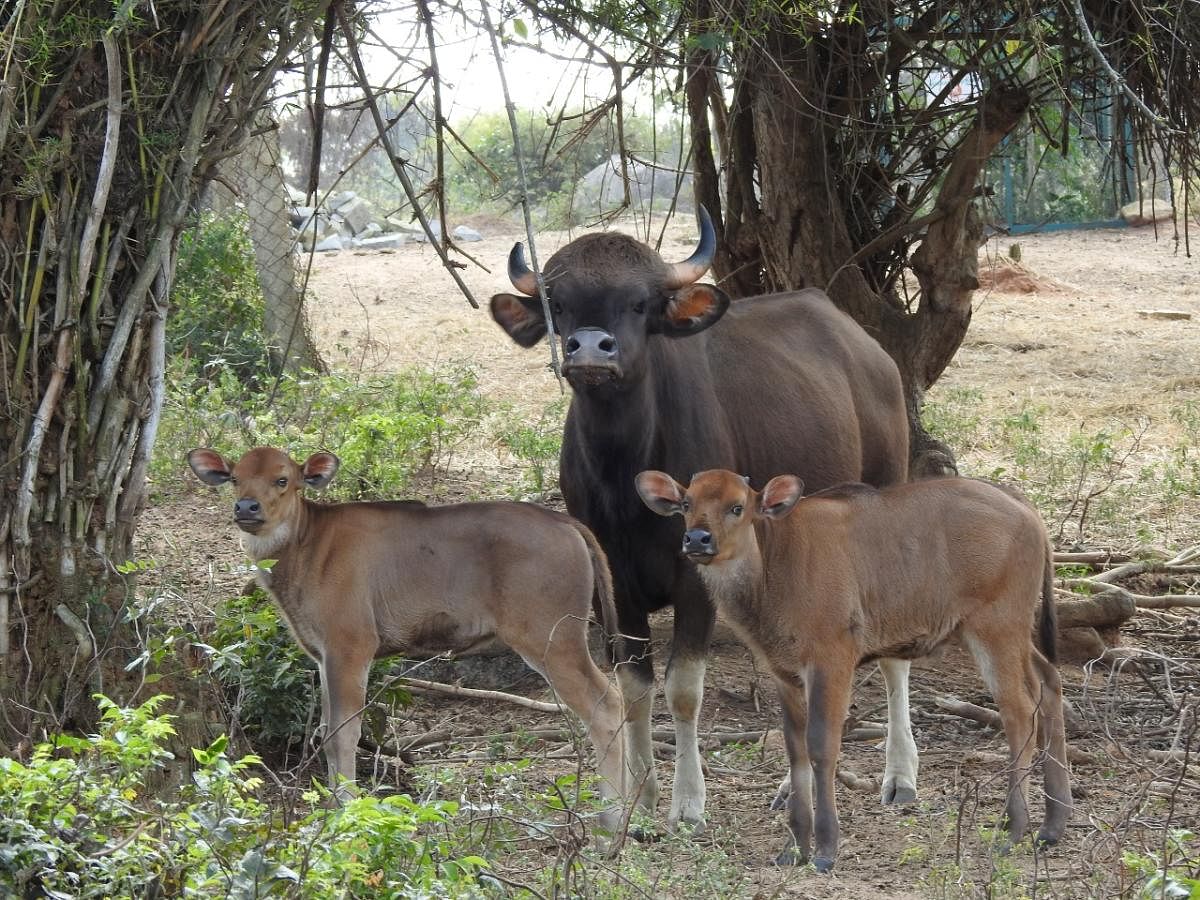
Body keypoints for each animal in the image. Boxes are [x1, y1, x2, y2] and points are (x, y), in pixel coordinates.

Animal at [638, 472, 1070, 873]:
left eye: (737, 506)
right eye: (687, 503)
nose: (697, 539)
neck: (775, 566)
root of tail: (1024, 507)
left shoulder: (832, 661)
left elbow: (822, 746)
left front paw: (826, 849)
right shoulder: (783, 672)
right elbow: (795, 751)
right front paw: (793, 847)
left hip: (995, 629)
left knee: (1019, 712)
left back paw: (1013, 830)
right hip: (1008, 635)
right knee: (1049, 685)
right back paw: (1052, 826)